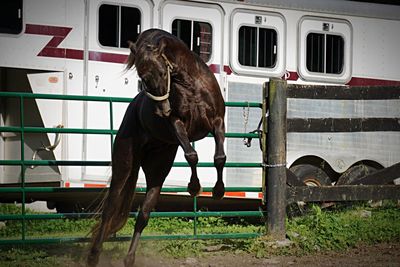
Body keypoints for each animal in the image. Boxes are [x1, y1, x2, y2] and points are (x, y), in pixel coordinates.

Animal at [86, 28, 227, 267]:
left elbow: (219, 158)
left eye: (162, 73)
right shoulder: (178, 124)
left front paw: (218, 191)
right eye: (142, 78)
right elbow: (192, 155)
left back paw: (129, 258)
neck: (191, 85)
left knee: (143, 214)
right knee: (109, 209)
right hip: (124, 166)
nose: (162, 111)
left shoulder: (217, 122)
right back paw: (94, 256)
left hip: (157, 171)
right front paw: (194, 187)